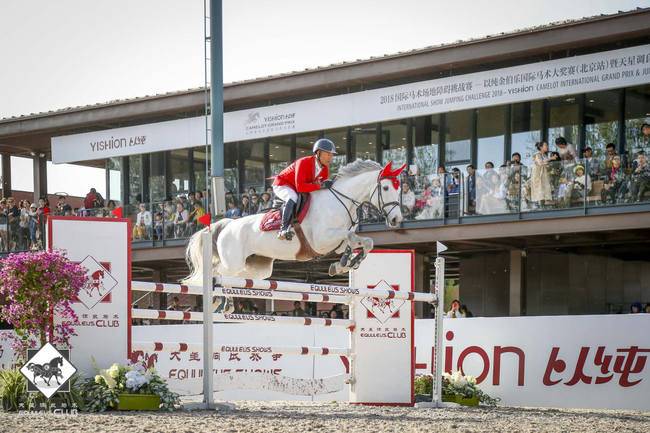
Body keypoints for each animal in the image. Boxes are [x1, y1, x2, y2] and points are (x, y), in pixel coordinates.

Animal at [182, 160, 402, 308]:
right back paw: (218, 301)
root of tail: (227, 225)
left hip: (257, 269)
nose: (396, 220)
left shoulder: (337, 241)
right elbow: (351, 236)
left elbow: (363, 241)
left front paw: (344, 263)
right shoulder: (321, 239)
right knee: (216, 271)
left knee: (232, 276)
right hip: (233, 262)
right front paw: (343, 263)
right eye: (385, 187)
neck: (341, 201)